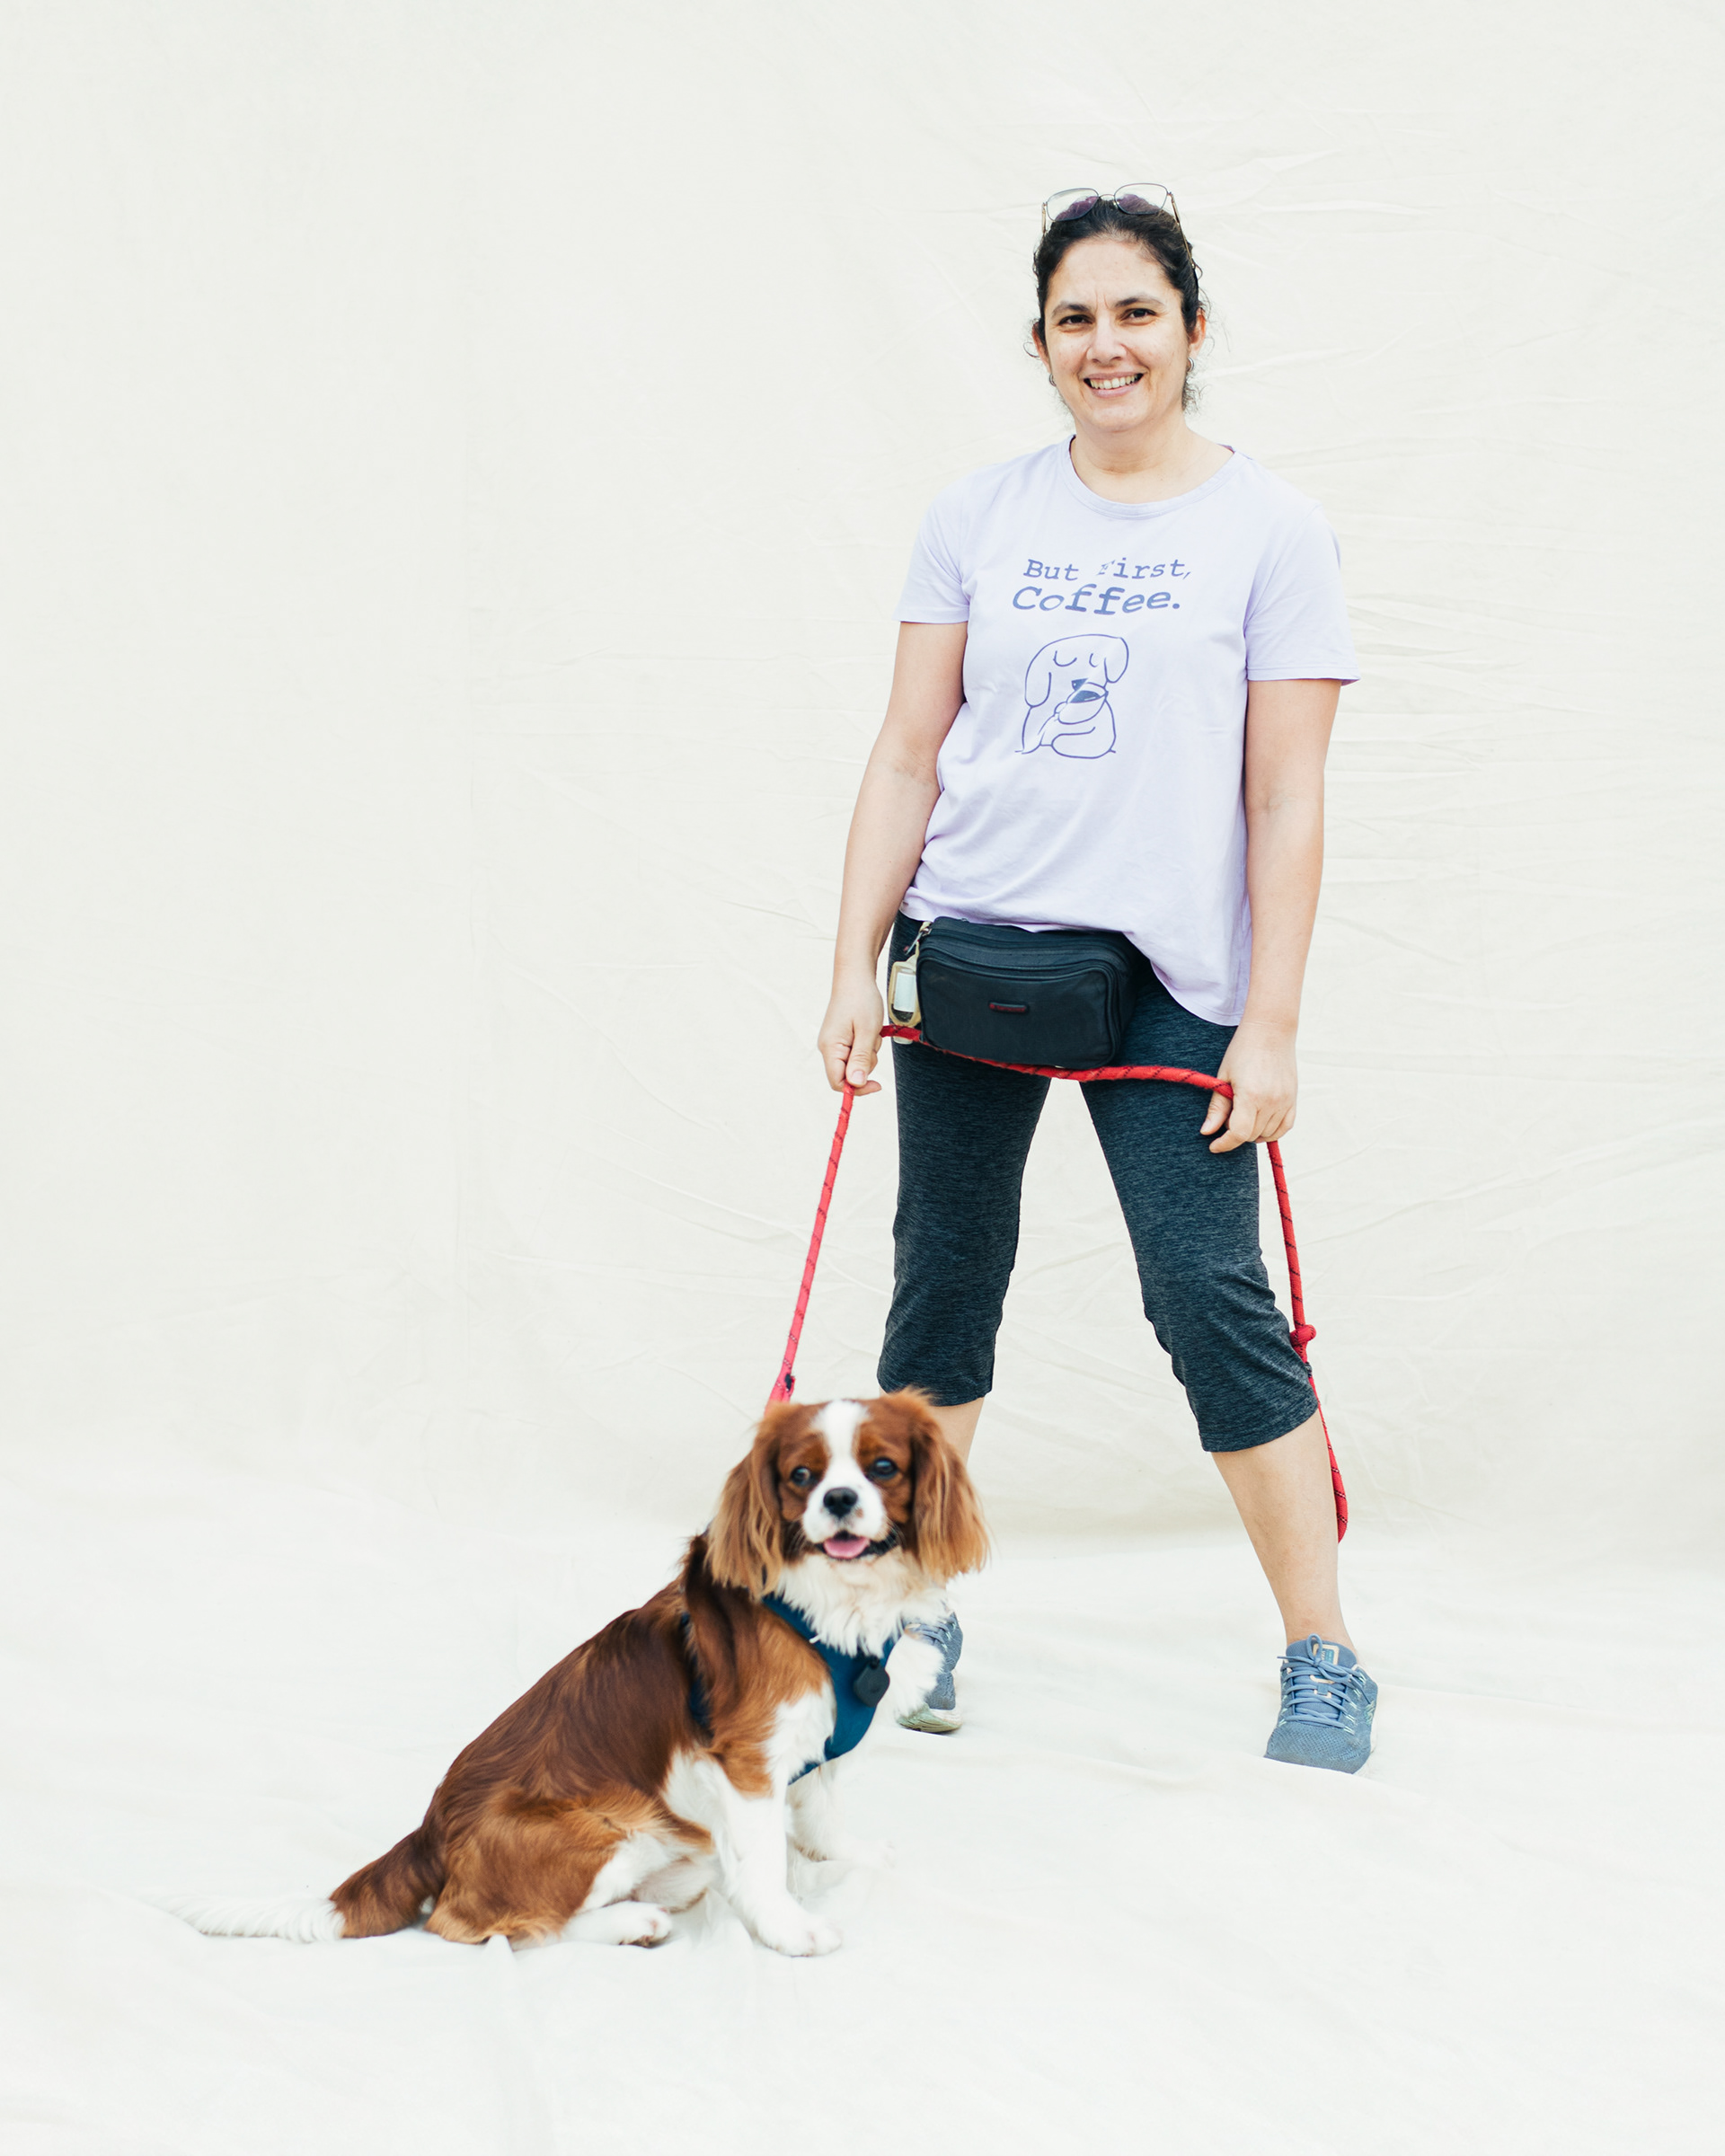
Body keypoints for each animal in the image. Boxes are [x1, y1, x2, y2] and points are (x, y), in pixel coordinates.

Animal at [169, 1392, 987, 1958]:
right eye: (802, 1476)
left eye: (883, 1467)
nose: (839, 1500)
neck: (834, 1609)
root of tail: (431, 1832)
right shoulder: (748, 1760)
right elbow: (763, 1858)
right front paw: (787, 1926)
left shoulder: (814, 1738)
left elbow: (820, 1812)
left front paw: (845, 1856)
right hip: (608, 1834)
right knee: (480, 1924)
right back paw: (631, 1922)